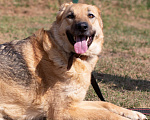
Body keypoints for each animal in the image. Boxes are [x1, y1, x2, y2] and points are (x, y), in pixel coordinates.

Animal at [0, 2, 147, 119]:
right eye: (70, 16)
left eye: (91, 15)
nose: (82, 26)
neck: (71, 55)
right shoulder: (62, 111)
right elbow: (105, 113)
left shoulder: (75, 103)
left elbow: (105, 104)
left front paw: (134, 113)